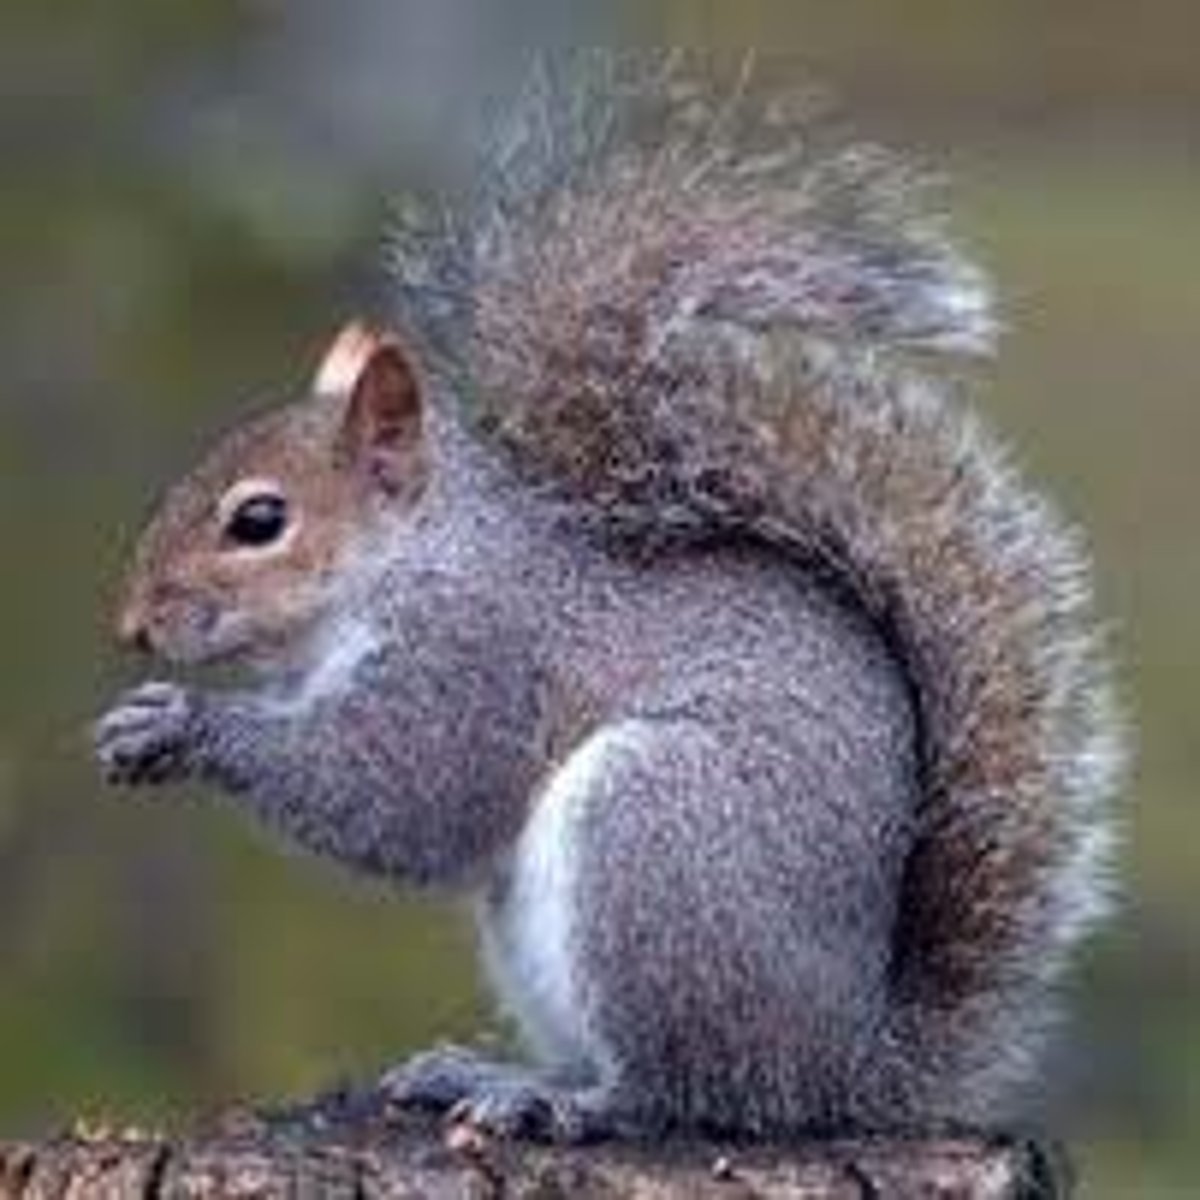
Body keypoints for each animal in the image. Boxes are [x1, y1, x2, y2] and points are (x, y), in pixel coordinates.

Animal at [92, 57, 1123, 1142]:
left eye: (259, 520)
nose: (133, 625)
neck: (417, 559)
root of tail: (840, 1070)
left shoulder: (478, 659)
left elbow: (398, 794)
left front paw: (189, 724)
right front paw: (138, 720)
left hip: (657, 842)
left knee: (679, 1090)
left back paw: (557, 1100)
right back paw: (481, 1072)